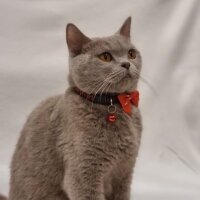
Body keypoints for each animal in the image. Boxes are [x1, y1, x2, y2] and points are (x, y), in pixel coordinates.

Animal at [1, 16, 142, 200]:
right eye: (105, 57)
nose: (126, 64)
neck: (115, 103)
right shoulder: (83, 174)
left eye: (131, 54)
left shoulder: (124, 174)